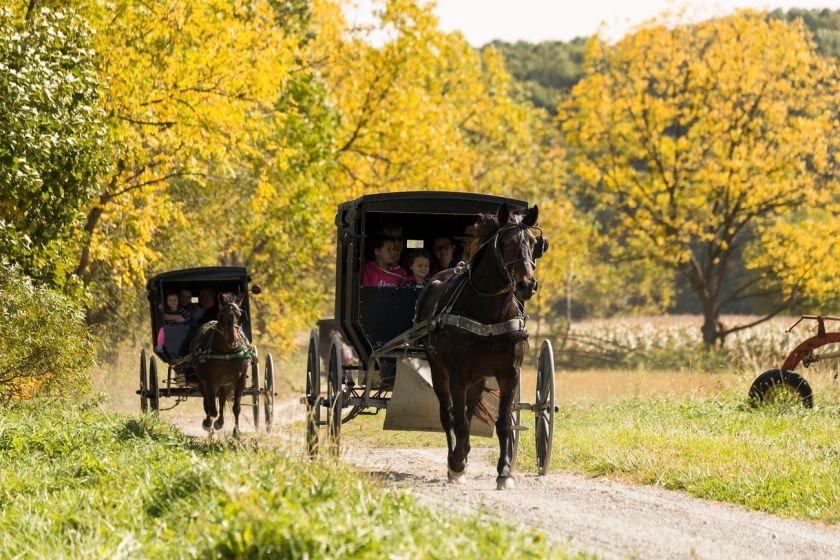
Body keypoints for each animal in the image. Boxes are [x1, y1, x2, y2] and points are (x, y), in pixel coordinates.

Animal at [189, 292, 253, 438]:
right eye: (221, 316)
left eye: (240, 316)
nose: (233, 340)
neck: (227, 353)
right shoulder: (211, 381)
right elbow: (212, 409)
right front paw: (208, 424)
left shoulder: (239, 380)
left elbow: (236, 407)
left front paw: (236, 433)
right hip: (203, 381)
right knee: (207, 403)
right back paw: (211, 426)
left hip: (225, 383)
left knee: (222, 399)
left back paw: (219, 422)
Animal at [416, 203, 543, 490]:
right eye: (505, 243)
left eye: (533, 242)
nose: (527, 285)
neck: (489, 313)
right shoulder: (457, 374)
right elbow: (460, 422)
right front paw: (456, 465)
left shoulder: (509, 373)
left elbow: (504, 423)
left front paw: (504, 473)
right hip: (439, 369)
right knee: (448, 414)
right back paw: (456, 458)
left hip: (479, 377)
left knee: (470, 408)